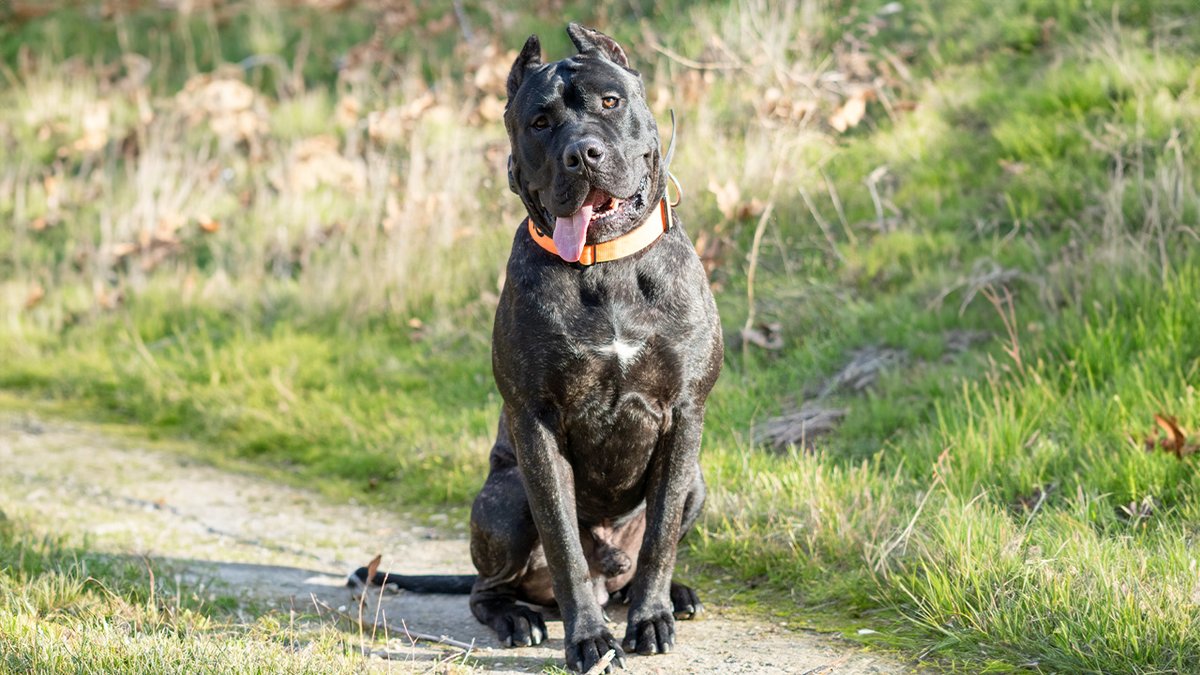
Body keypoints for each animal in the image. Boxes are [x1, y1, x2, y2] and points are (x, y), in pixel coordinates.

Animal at [348, 23, 720, 667]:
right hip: (505, 498)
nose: (582, 153)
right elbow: (565, 544)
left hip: (696, 480)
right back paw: (518, 618)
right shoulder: (536, 424)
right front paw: (589, 640)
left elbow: (661, 537)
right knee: (489, 588)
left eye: (610, 102)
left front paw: (651, 617)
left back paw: (667, 595)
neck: (605, 266)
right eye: (540, 123)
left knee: (644, 551)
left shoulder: (684, 417)